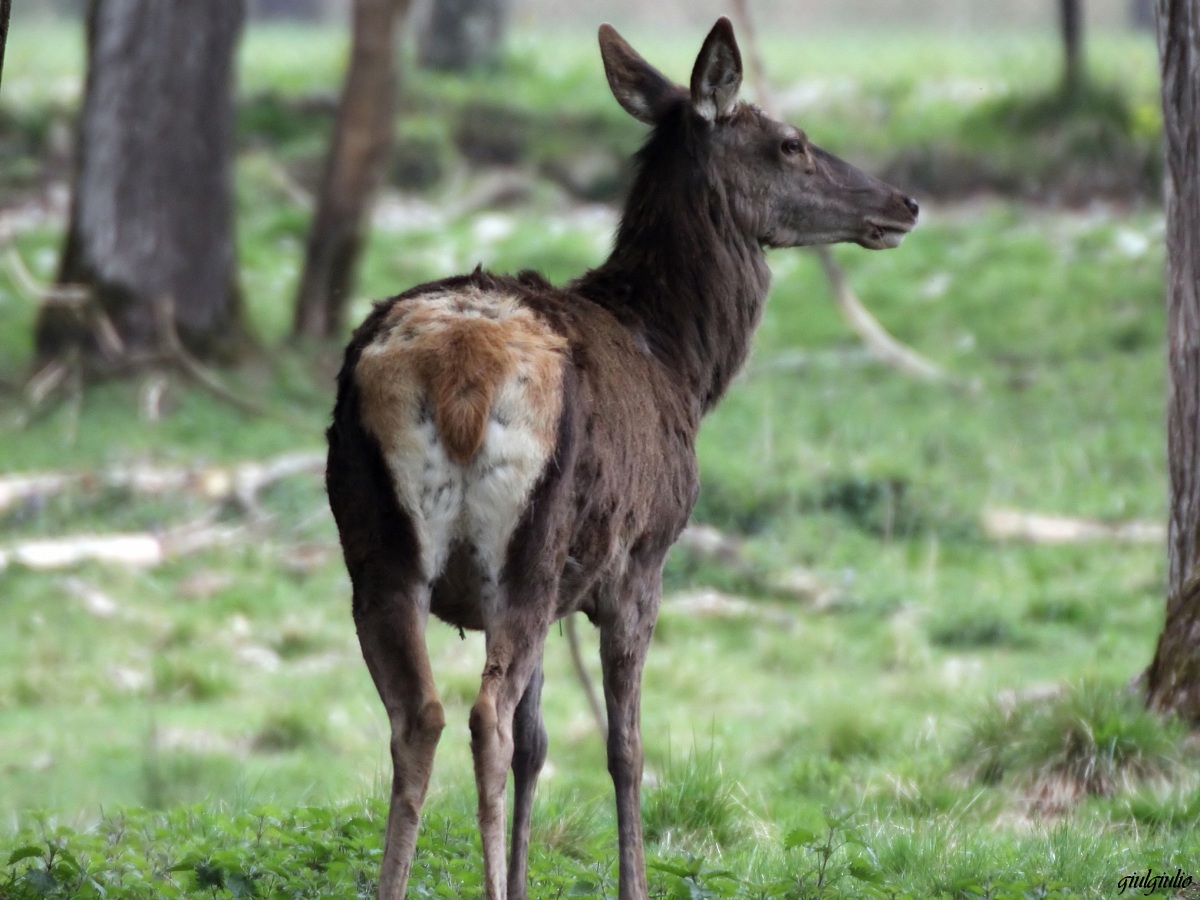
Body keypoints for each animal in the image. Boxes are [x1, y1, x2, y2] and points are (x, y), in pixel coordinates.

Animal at [326, 17, 917, 900]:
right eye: (791, 142)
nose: (903, 201)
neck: (682, 363)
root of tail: (459, 371)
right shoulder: (642, 557)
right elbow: (623, 747)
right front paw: (628, 881)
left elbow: (541, 743)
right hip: (528, 546)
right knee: (483, 718)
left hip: (377, 546)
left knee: (419, 715)